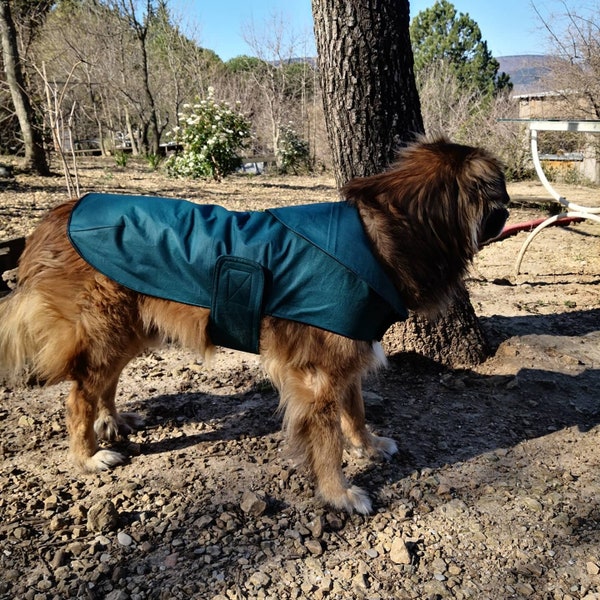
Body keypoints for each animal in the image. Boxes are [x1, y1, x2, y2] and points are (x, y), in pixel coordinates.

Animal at [0, 138, 508, 512]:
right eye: (498, 196)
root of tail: (54, 217)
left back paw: (114, 419)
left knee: (101, 383)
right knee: (77, 397)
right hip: (104, 329)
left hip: (129, 329)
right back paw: (88, 457)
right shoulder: (318, 376)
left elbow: (357, 410)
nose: (507, 215)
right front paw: (339, 493)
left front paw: (367, 445)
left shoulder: (346, 357)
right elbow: (327, 441)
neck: (384, 231)